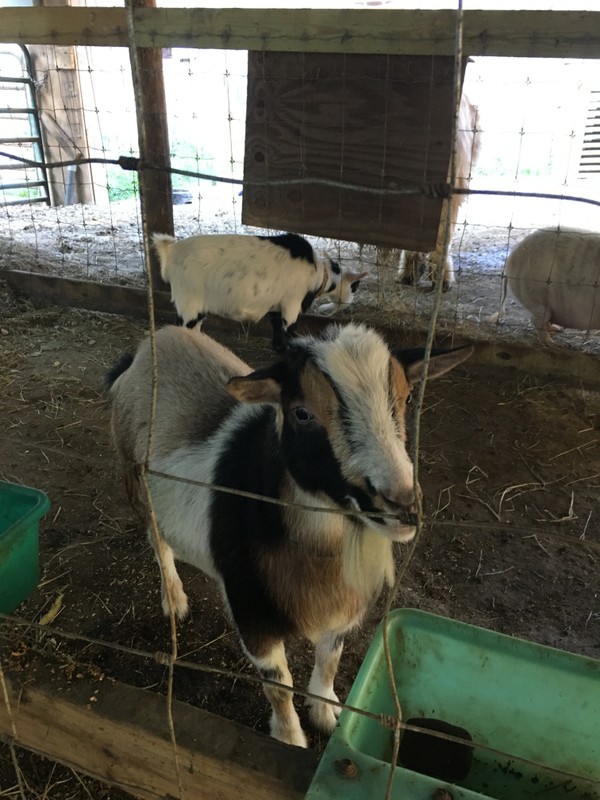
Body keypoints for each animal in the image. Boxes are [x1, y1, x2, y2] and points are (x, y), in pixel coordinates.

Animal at [106, 322, 474, 748]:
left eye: (408, 396)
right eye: (302, 412)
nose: (403, 504)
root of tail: (149, 345)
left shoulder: (342, 608)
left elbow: (330, 659)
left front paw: (327, 713)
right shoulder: (251, 611)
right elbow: (278, 684)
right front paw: (289, 737)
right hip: (135, 480)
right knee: (158, 543)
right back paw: (174, 600)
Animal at [151, 234, 366, 354]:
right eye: (355, 286)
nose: (350, 303)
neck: (319, 274)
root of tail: (170, 250)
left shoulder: (276, 304)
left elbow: (276, 325)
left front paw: (279, 348)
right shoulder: (292, 303)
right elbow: (290, 329)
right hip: (189, 300)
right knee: (183, 328)